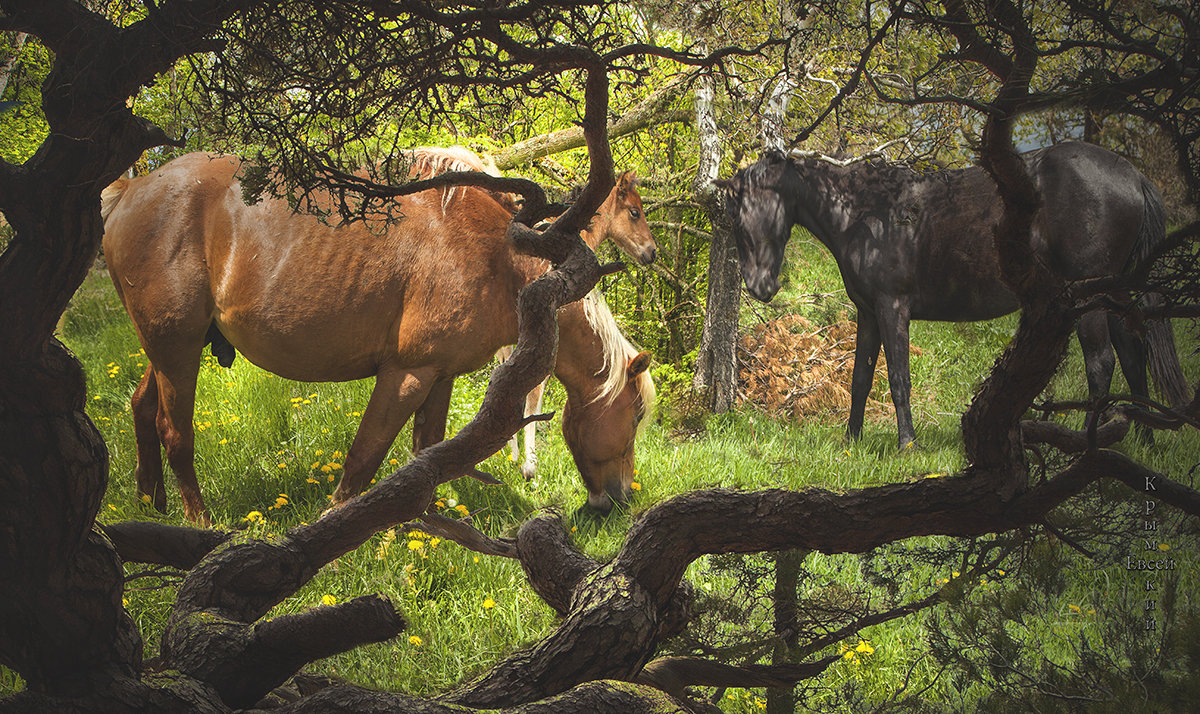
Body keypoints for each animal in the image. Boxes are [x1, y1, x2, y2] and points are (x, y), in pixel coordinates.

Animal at [103, 150, 657, 523]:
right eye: (635, 417)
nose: (620, 497)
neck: (503, 257)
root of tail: (131, 190)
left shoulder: (441, 375)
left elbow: (428, 452)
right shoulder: (407, 374)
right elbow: (364, 458)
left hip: (172, 348)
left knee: (142, 408)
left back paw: (150, 503)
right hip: (176, 349)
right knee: (175, 431)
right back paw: (198, 523)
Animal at [715, 142, 1185, 448]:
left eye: (740, 218)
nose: (760, 288)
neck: (867, 213)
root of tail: (1134, 175)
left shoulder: (893, 308)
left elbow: (898, 379)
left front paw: (907, 445)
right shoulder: (867, 312)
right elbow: (861, 380)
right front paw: (851, 441)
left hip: (1089, 297)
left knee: (1101, 363)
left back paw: (1088, 442)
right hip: (1114, 294)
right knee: (1132, 353)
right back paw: (1141, 439)